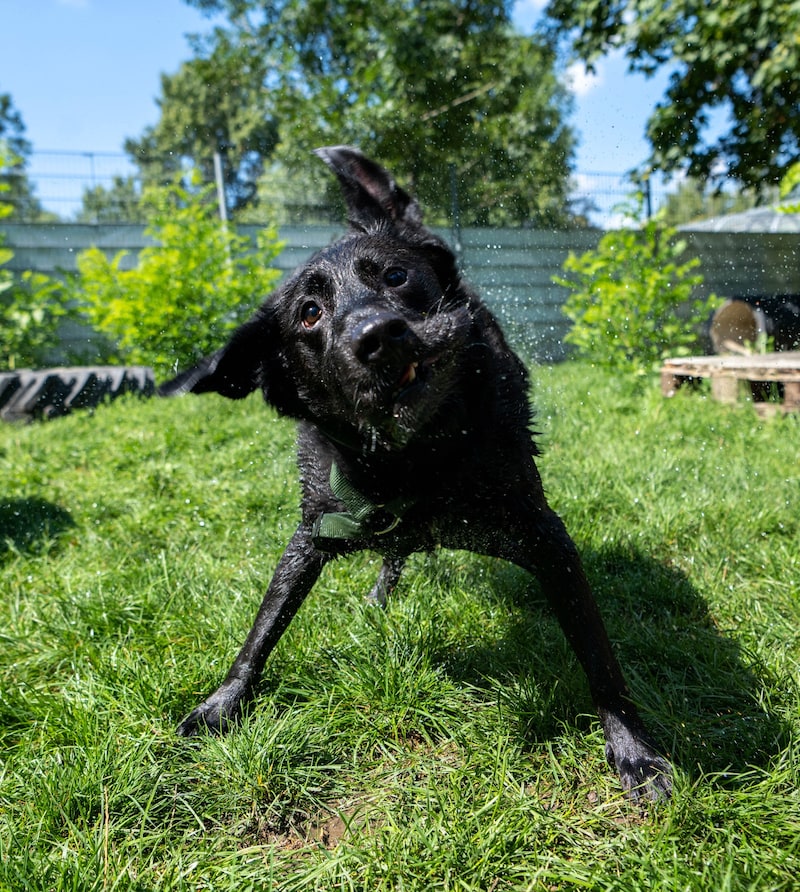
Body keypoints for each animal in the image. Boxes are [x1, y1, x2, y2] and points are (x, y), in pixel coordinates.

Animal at [159, 145, 672, 800]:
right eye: (309, 313)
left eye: (395, 277)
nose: (378, 335)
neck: (414, 459)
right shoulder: (314, 530)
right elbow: (263, 628)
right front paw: (223, 703)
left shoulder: (543, 534)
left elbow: (598, 654)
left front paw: (635, 750)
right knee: (392, 554)